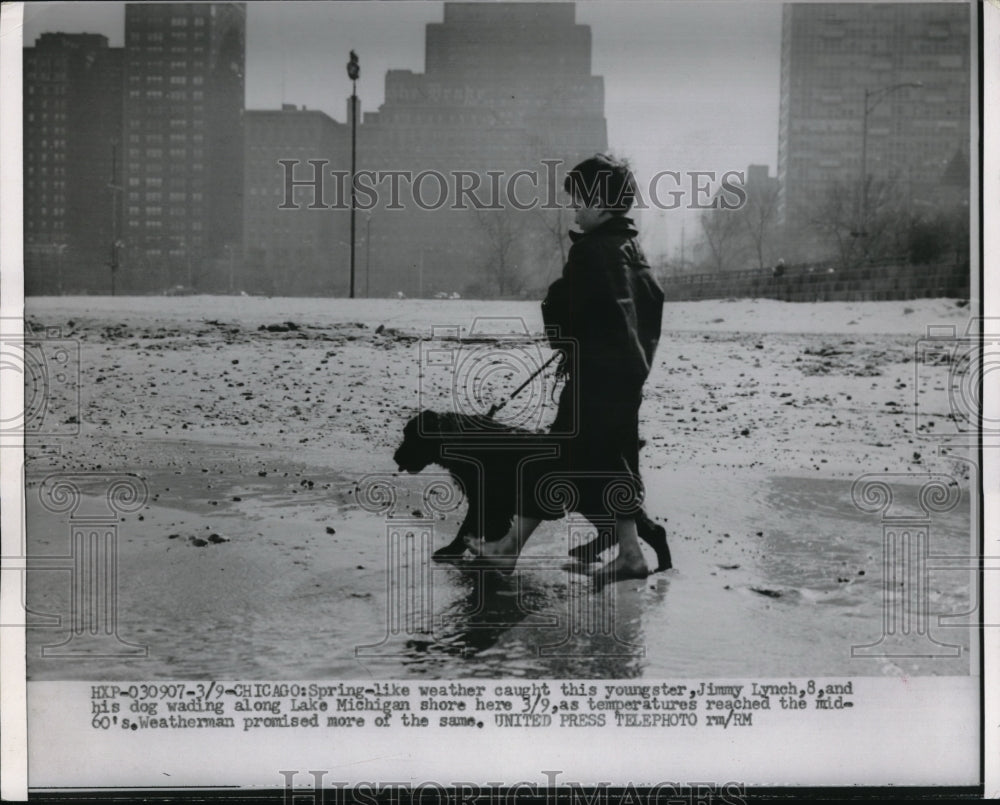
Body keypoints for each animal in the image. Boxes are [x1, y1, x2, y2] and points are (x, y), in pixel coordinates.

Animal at [392, 408, 672, 572]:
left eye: (412, 436)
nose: (396, 457)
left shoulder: (487, 500)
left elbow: (467, 528)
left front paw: (452, 550)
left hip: (597, 499)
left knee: (631, 530)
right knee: (640, 530)